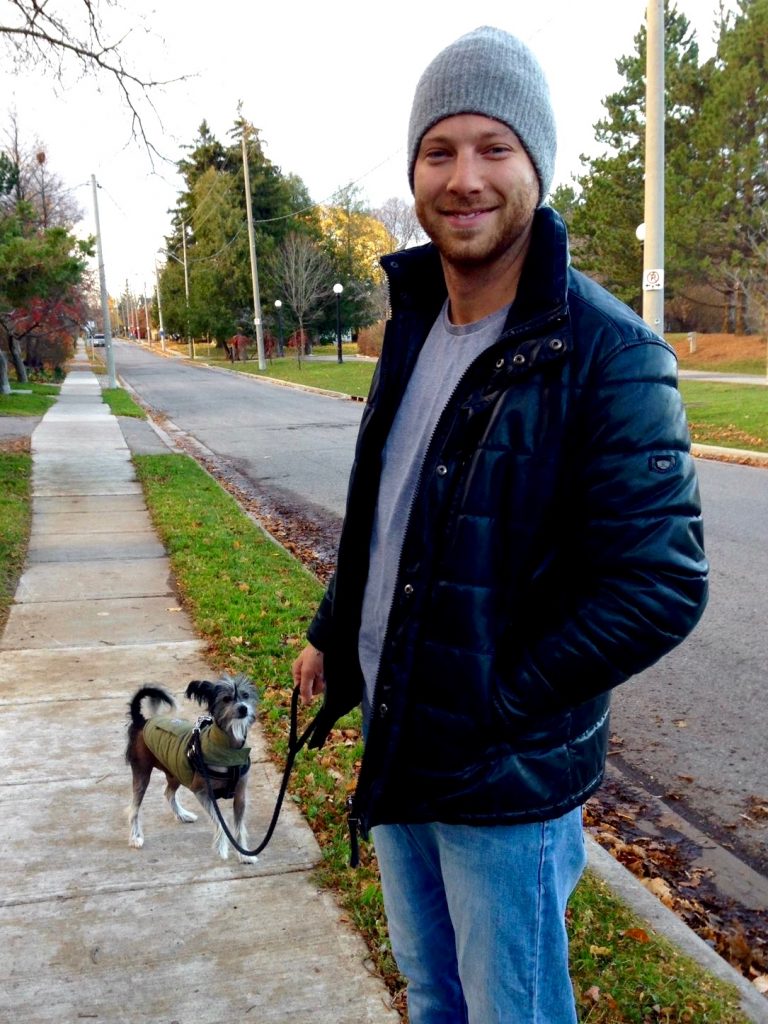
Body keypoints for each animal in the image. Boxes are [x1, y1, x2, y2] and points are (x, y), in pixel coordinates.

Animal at [124, 671, 260, 864]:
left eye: (246, 695)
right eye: (226, 698)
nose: (243, 708)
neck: (229, 749)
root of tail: (142, 721)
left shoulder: (240, 796)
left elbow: (239, 827)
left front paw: (244, 854)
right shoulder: (202, 792)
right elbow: (221, 822)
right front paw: (222, 847)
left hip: (176, 773)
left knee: (168, 793)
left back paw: (182, 815)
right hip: (142, 773)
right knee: (134, 808)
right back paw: (135, 837)